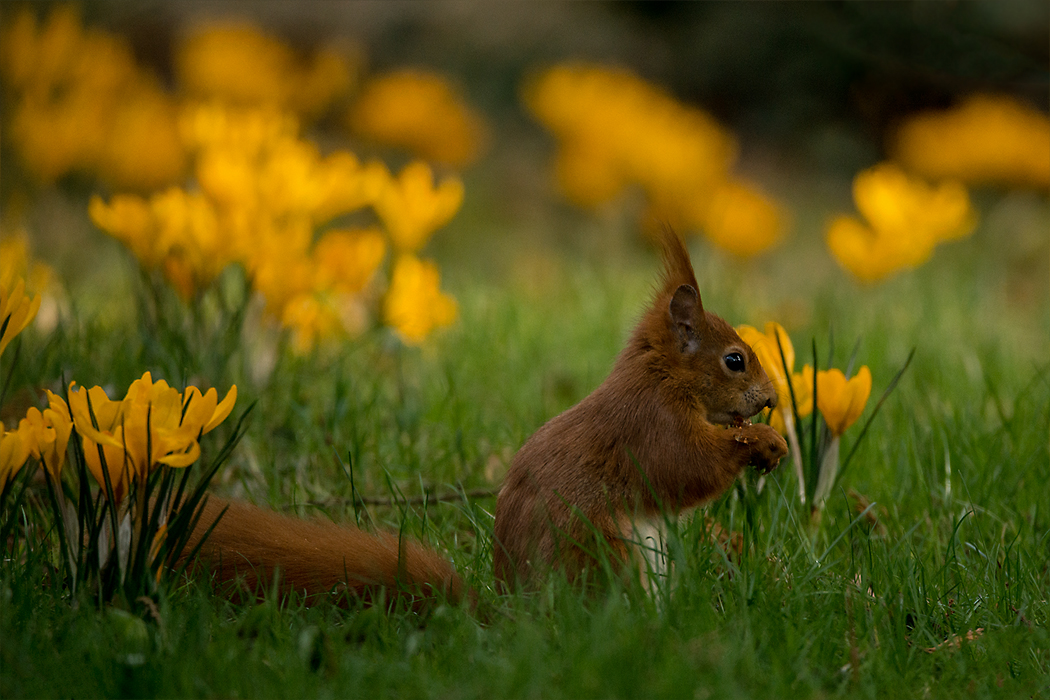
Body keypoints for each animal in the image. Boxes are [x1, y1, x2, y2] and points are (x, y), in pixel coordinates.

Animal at [182, 228, 789, 604]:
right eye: (735, 360)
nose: (770, 399)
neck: (661, 378)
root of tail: (514, 618)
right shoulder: (649, 424)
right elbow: (686, 466)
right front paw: (762, 442)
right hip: (600, 552)